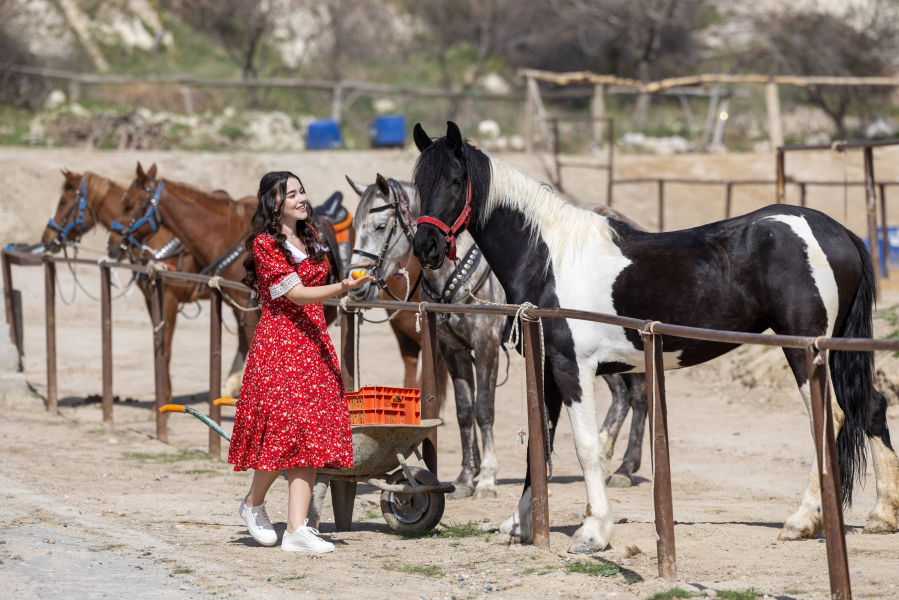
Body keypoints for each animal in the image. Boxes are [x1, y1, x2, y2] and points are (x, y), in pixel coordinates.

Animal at [410, 122, 899, 553]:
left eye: (456, 179)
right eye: (416, 183)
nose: (425, 247)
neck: (549, 259)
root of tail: (839, 232)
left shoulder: (572, 367)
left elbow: (586, 446)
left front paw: (594, 533)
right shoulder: (547, 368)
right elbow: (539, 442)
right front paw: (520, 524)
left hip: (805, 349)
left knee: (830, 417)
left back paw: (801, 521)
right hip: (835, 352)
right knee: (871, 407)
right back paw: (881, 515)